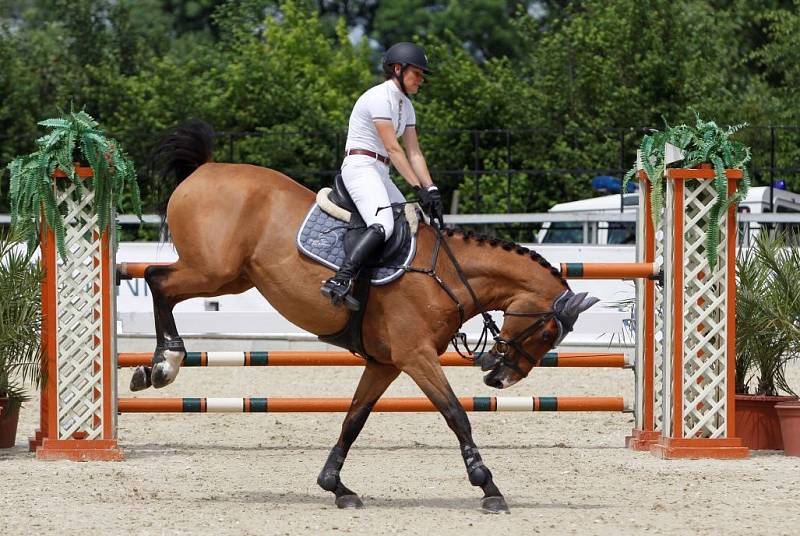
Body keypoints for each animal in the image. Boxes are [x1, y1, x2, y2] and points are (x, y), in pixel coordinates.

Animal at [134, 119, 596, 512]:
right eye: (546, 332)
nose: (502, 380)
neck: (445, 274)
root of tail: (205, 169)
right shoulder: (416, 356)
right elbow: (456, 414)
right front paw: (489, 487)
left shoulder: (385, 363)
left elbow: (354, 419)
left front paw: (336, 487)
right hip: (212, 270)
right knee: (157, 280)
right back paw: (164, 362)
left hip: (231, 279)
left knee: (164, 285)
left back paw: (152, 368)